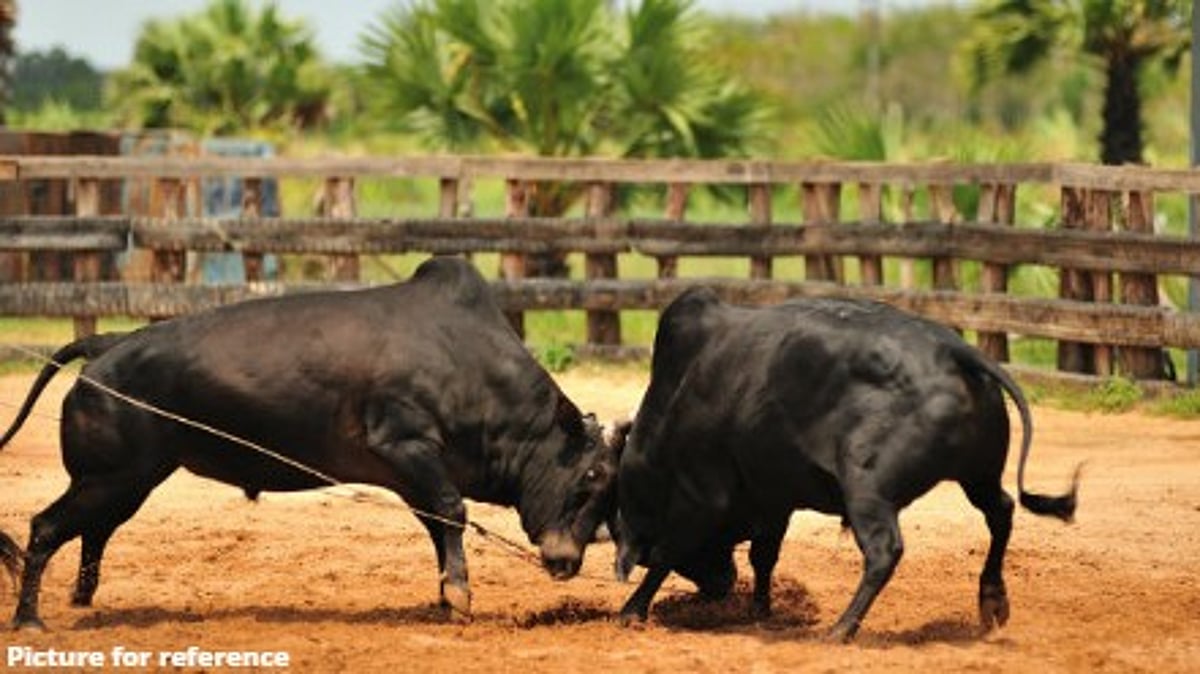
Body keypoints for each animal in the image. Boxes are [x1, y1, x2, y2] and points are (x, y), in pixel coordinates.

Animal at [0, 256, 618, 630]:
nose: (569, 560)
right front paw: (460, 596)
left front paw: (447, 594)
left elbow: (438, 527)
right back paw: (29, 618)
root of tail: (107, 345)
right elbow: (452, 511)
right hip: (109, 478)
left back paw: (83, 598)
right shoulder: (405, 444)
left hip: (125, 482)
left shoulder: (410, 475)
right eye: (590, 477)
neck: (473, 368)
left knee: (93, 532)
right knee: (45, 527)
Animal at [612, 287, 1080, 642]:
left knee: (884, 551)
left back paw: (841, 628)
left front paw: (631, 609)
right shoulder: (773, 498)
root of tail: (954, 350)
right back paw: (992, 601)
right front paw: (760, 610)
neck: (678, 390)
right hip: (978, 476)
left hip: (867, 490)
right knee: (1000, 512)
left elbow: (669, 549)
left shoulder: (703, 494)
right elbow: (764, 556)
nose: (720, 586)